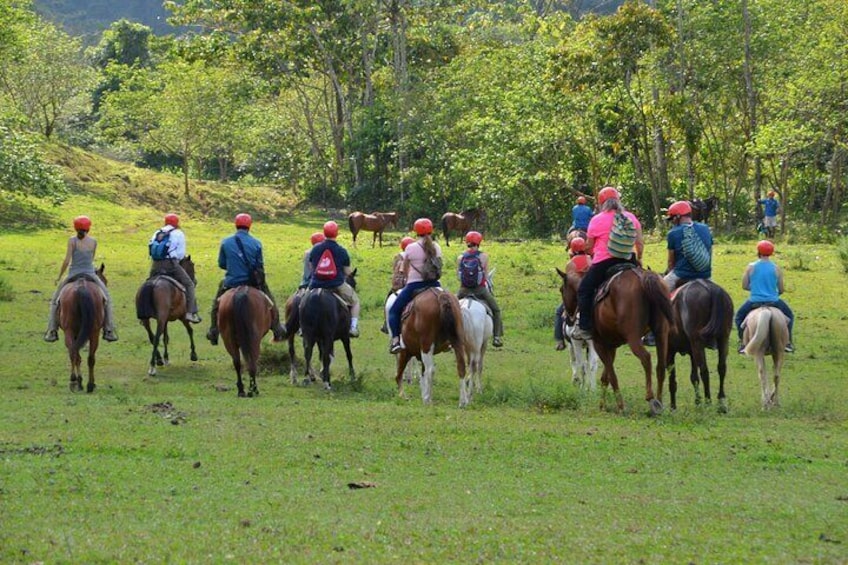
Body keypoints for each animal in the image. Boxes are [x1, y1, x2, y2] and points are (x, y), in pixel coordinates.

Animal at [58, 264, 108, 392]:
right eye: (104, 281)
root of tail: (81, 287)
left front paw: (78, 380)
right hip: (94, 332)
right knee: (90, 358)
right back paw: (88, 384)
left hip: (70, 331)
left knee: (74, 353)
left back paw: (75, 381)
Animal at [560, 264, 672, 414]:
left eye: (561, 290)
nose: (568, 318)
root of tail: (643, 276)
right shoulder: (611, 345)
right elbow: (605, 376)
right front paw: (602, 405)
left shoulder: (599, 344)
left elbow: (611, 375)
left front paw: (620, 406)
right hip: (661, 333)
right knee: (660, 366)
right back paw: (659, 402)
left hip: (633, 337)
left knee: (646, 358)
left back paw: (650, 398)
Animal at [664, 280, 732, 412]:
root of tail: (709, 287)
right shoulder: (691, 352)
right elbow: (694, 377)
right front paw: (697, 402)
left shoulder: (670, 351)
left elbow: (672, 380)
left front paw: (673, 407)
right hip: (723, 339)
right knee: (722, 368)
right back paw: (721, 403)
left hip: (698, 342)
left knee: (704, 371)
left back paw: (708, 402)